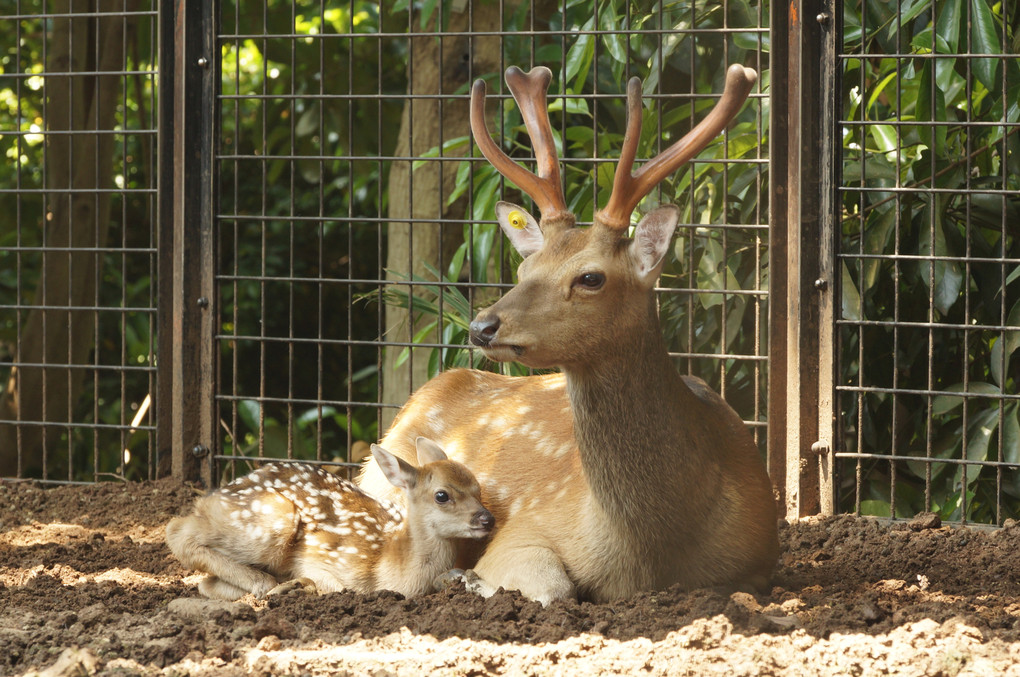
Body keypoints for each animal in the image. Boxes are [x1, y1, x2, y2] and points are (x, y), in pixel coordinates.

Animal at [361, 63, 779, 603]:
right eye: (525, 267)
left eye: (591, 277)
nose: (480, 326)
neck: (654, 549)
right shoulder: (525, 529)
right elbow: (556, 588)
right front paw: (472, 578)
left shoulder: (761, 559)